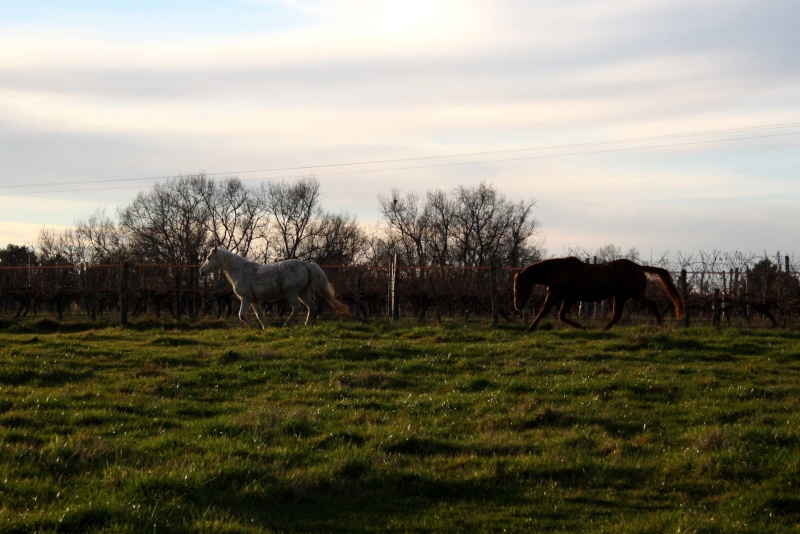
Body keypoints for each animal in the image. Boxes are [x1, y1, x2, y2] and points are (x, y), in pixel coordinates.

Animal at [198, 248, 348, 330]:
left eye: (209, 258)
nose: (201, 271)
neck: (241, 271)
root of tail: (307, 265)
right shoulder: (254, 301)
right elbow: (260, 316)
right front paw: (265, 328)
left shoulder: (246, 299)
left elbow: (241, 315)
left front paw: (253, 327)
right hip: (302, 293)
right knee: (311, 306)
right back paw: (308, 324)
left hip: (291, 293)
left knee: (297, 308)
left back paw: (287, 324)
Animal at [516, 258, 684, 332]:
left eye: (518, 287)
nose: (517, 307)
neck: (558, 271)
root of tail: (639, 267)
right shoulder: (567, 298)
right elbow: (560, 316)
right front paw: (582, 326)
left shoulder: (560, 296)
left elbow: (545, 311)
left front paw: (530, 328)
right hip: (620, 297)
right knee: (616, 315)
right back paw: (603, 329)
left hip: (634, 295)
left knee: (652, 305)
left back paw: (659, 325)